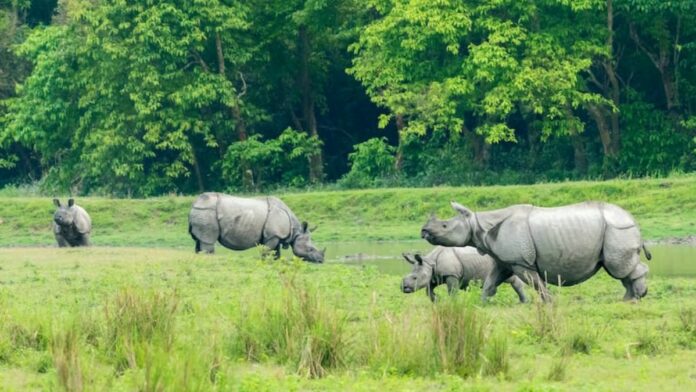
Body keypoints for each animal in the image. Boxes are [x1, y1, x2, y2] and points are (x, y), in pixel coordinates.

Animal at [186, 194, 324, 264]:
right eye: (310, 249)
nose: (321, 260)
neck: (296, 230)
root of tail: (194, 204)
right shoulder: (273, 235)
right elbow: (267, 250)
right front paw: (264, 262)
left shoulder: (275, 235)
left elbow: (276, 252)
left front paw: (275, 262)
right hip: (206, 212)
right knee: (208, 241)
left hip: (202, 212)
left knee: (199, 241)